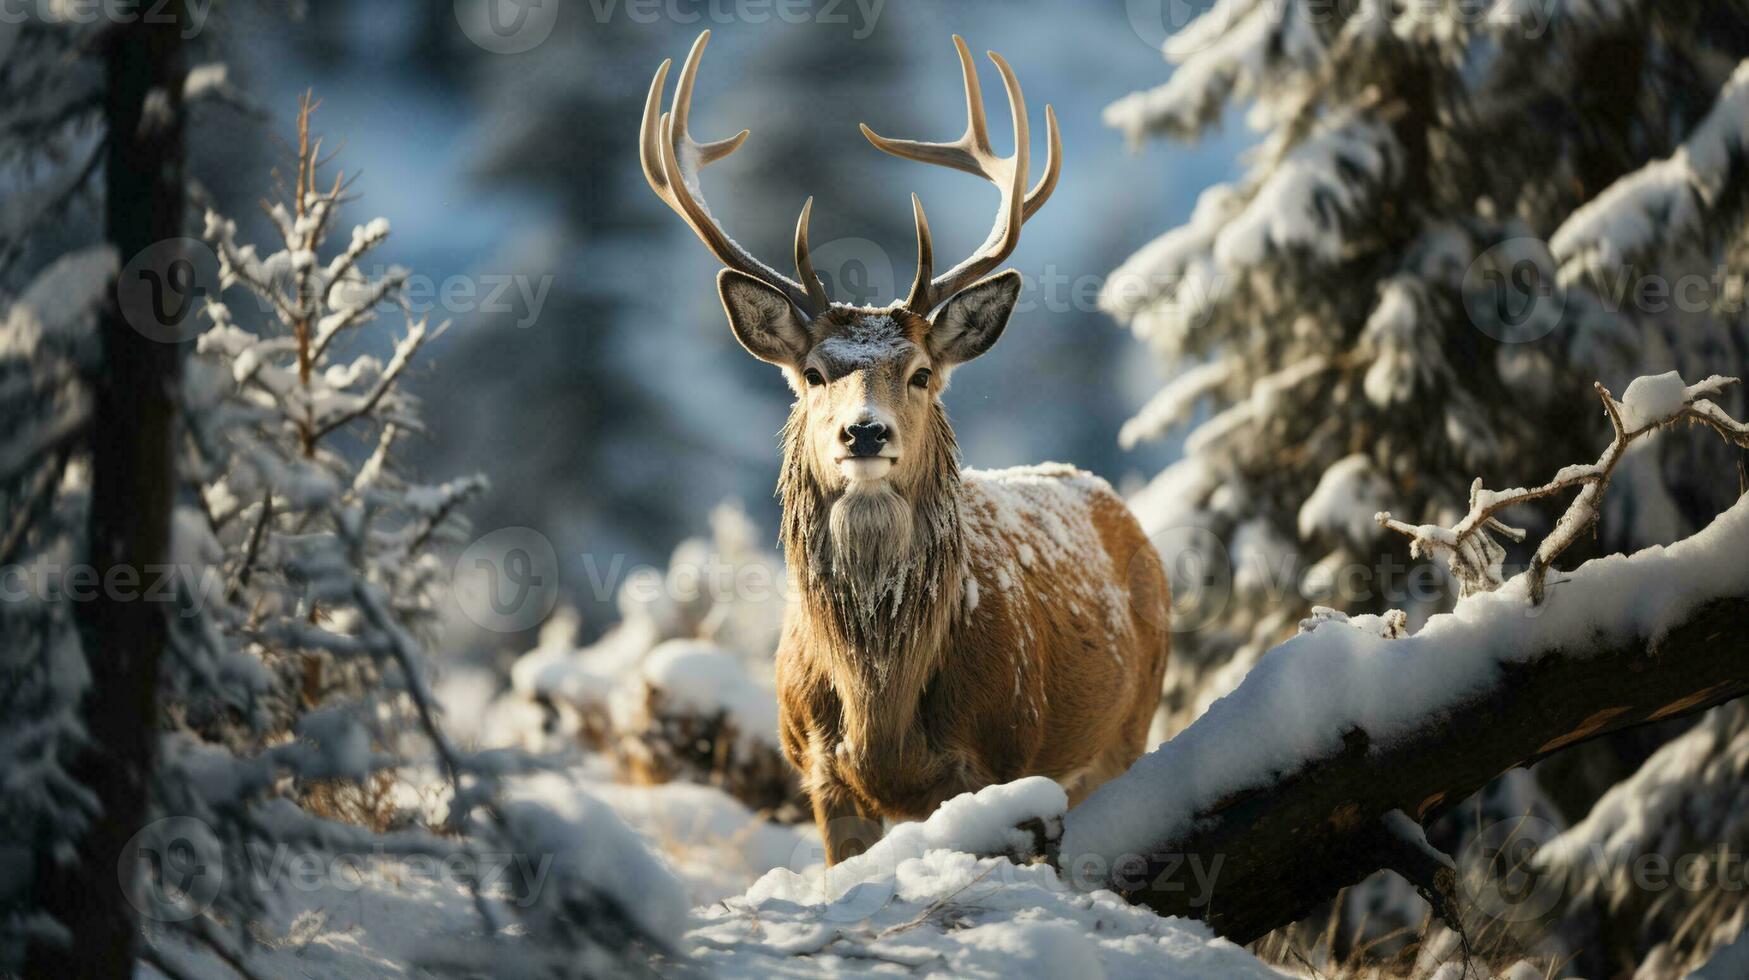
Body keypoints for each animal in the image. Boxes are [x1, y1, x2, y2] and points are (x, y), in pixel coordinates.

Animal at [636, 30, 1168, 861]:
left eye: (919, 373)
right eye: (813, 373)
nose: (864, 430)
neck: (878, 710)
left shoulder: (996, 758)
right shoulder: (817, 773)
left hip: (1129, 726)